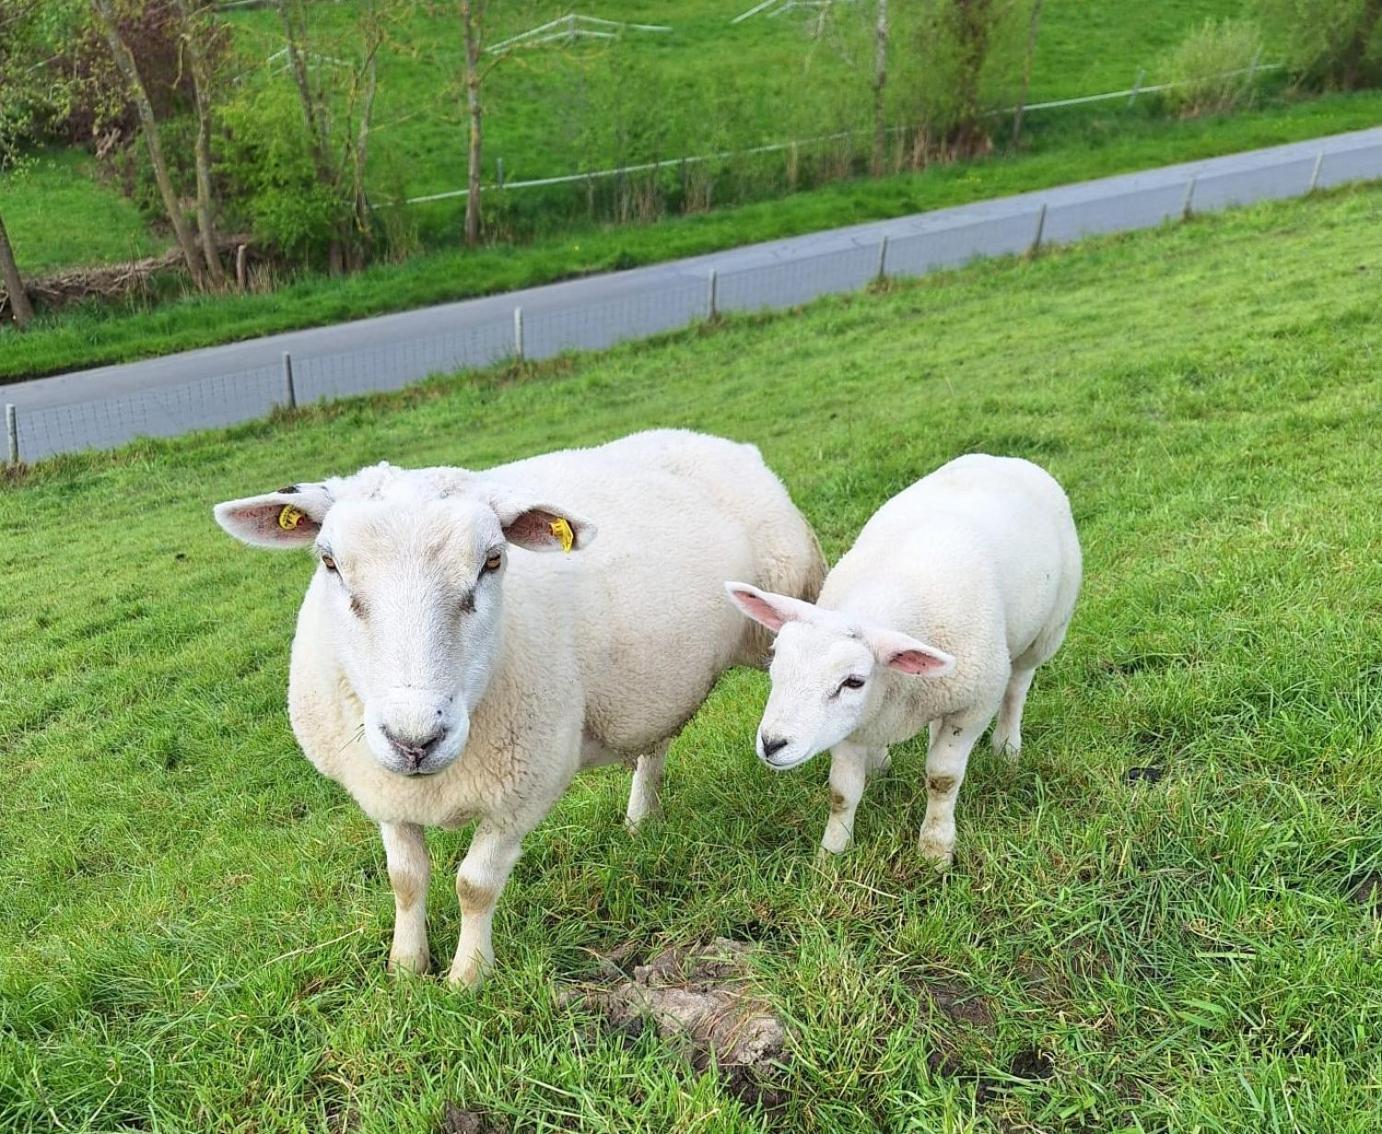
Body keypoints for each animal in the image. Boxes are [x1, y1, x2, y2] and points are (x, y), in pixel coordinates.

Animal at [214, 428, 818, 988]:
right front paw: (406, 968)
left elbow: (475, 885)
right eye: (329, 562)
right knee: (655, 745)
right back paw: (640, 820)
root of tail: (718, 441)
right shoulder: (382, 789)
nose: (415, 740)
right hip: (653, 684)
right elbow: (405, 878)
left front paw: (467, 977)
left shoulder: (524, 789)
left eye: (493, 561)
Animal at [724, 455, 1077, 861]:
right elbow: (842, 791)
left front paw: (935, 850)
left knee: (1018, 685)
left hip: (1047, 630)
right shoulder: (851, 724)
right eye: (775, 664)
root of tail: (1004, 458)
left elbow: (943, 778)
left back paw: (1006, 747)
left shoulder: (974, 706)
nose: (772, 743)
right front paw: (831, 855)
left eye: (853, 681)